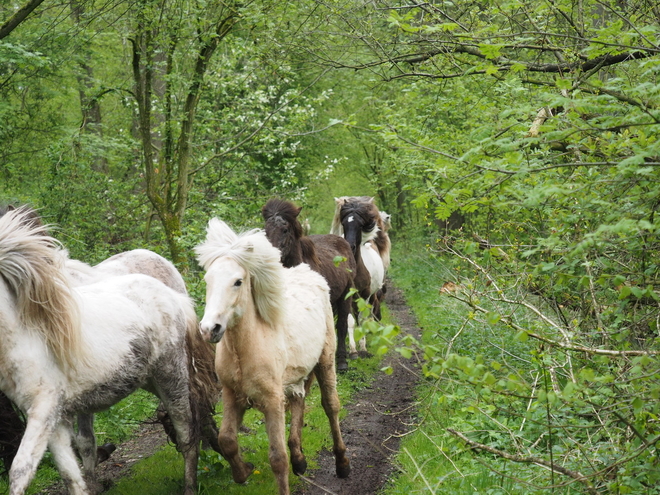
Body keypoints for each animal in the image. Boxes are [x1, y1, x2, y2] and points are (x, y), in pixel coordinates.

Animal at [0, 207, 201, 494]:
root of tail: (170, 294)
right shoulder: (54, 416)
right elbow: (71, 471)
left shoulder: (44, 408)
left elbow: (21, 470)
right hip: (146, 378)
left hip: (170, 374)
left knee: (187, 431)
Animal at [196, 219, 350, 495]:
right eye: (208, 279)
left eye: (237, 281)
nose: (209, 329)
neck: (245, 351)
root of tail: (311, 274)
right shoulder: (231, 394)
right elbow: (227, 440)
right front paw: (243, 472)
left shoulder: (272, 401)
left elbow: (278, 458)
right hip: (295, 376)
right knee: (300, 401)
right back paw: (300, 460)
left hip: (325, 361)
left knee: (331, 406)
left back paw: (342, 464)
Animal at [260, 199, 368, 372]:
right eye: (265, 230)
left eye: (285, 229)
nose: (271, 257)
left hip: (345, 297)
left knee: (342, 325)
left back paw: (342, 360)